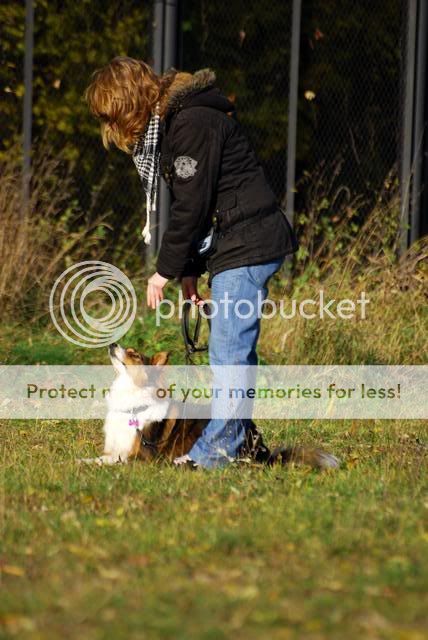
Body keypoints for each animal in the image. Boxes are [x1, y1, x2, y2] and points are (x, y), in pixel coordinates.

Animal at [82, 343, 340, 469]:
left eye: (133, 354)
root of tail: (262, 450)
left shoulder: (141, 456)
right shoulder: (114, 448)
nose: (113, 343)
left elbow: (113, 461)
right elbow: (102, 457)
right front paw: (84, 461)